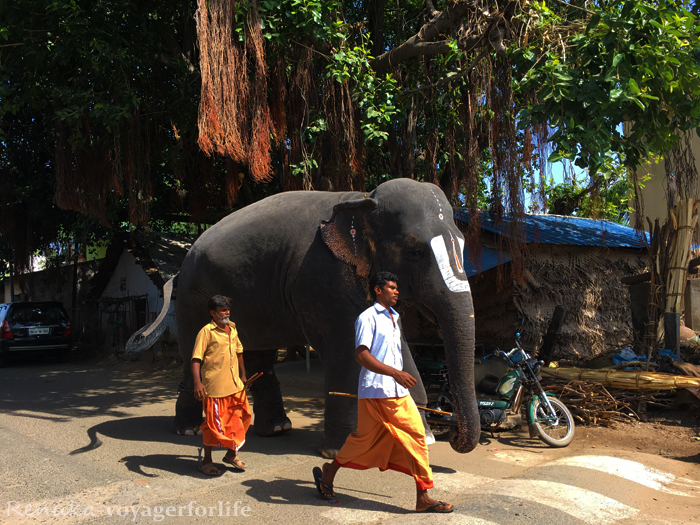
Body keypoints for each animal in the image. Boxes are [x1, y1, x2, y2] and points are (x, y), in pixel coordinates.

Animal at [143, 178, 482, 456]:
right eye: (414, 252)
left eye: (465, 246)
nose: (454, 436)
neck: (361, 198)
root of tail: (181, 266)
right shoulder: (321, 276)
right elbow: (344, 348)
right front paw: (338, 450)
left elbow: (395, 345)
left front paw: (421, 437)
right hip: (193, 299)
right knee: (194, 354)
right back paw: (188, 430)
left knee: (258, 354)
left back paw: (276, 430)